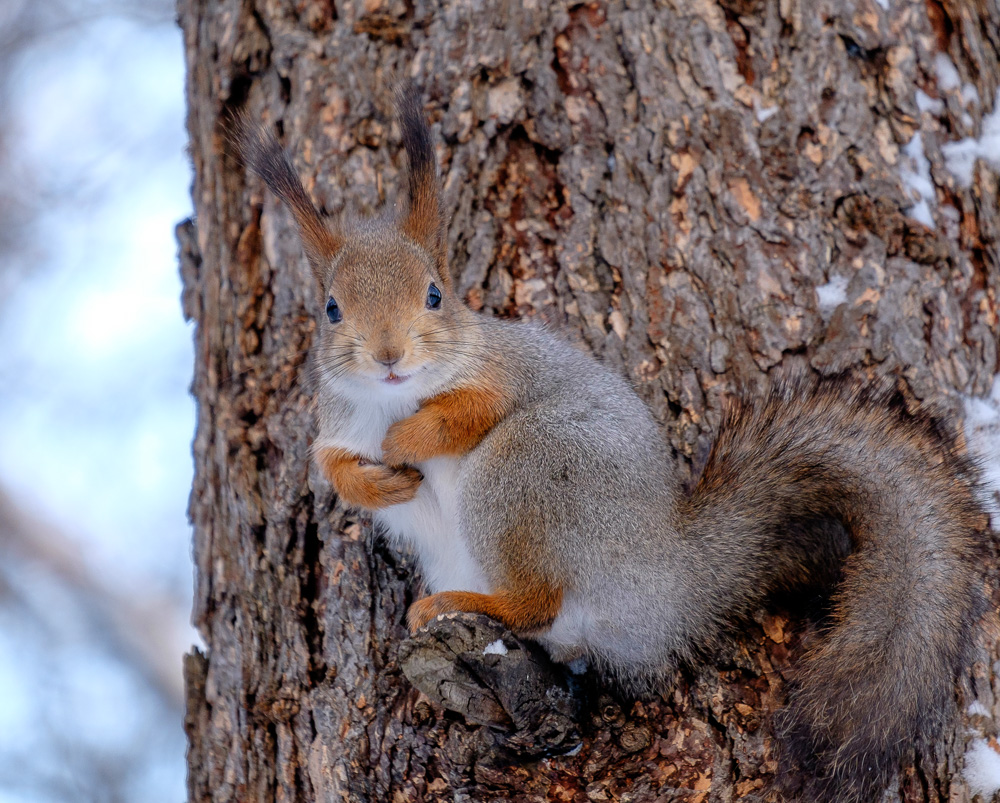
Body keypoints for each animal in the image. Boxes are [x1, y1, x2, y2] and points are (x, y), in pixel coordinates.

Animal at [236, 89, 992, 803]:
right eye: (332, 308)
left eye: (434, 295)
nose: (390, 356)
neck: (393, 395)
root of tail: (664, 575)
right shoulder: (338, 421)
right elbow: (334, 466)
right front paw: (378, 480)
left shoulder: (502, 371)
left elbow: (467, 412)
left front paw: (408, 436)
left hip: (523, 469)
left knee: (537, 600)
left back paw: (461, 603)